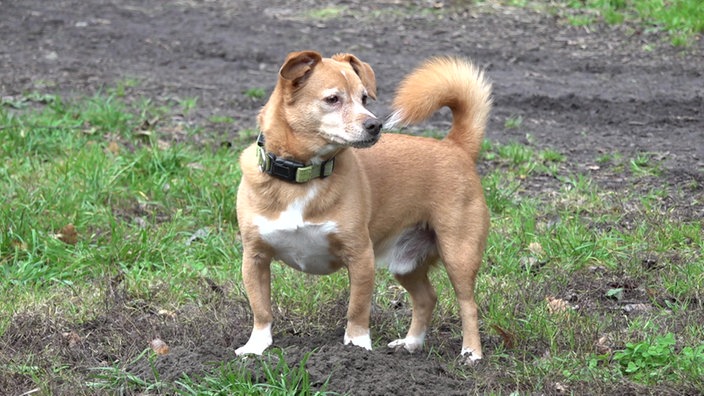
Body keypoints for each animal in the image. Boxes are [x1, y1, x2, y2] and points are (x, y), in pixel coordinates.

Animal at [234, 51, 492, 364]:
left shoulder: (360, 256)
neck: (302, 178)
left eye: (365, 98)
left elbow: (357, 308)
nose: (375, 125)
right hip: (406, 263)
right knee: (427, 298)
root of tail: (455, 147)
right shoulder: (255, 258)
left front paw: (356, 347)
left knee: (468, 304)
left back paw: (472, 353)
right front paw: (256, 347)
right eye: (333, 99)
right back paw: (411, 344)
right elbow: (261, 308)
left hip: (458, 254)